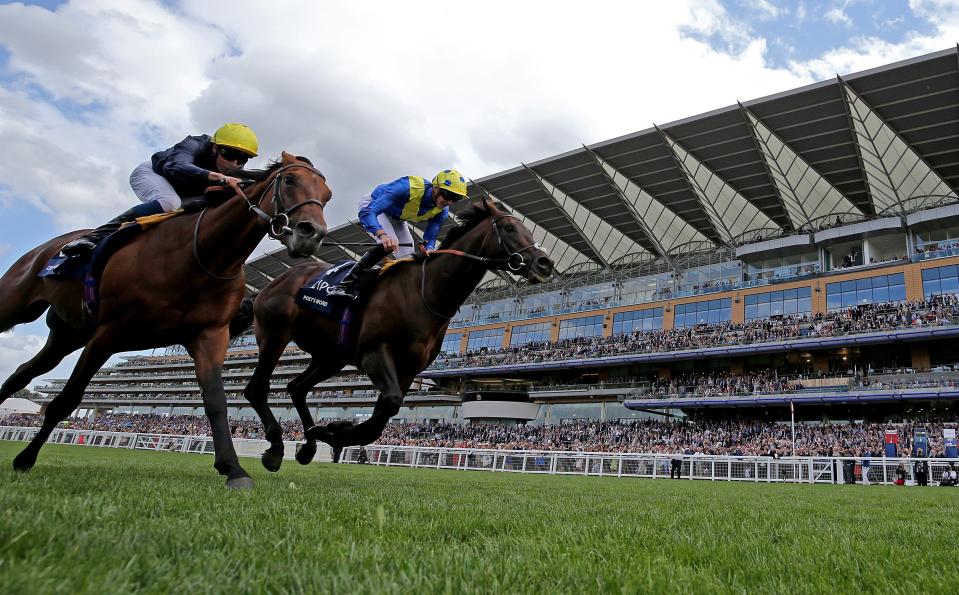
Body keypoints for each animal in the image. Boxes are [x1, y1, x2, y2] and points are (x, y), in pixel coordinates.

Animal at [0, 150, 332, 488]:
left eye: (327, 196)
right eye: (289, 180)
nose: (311, 234)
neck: (201, 255)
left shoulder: (209, 335)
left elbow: (216, 401)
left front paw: (233, 468)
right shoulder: (108, 333)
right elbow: (66, 400)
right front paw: (26, 457)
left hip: (67, 334)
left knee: (22, 374)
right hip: (17, 304)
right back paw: (82, 243)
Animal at [240, 198, 556, 468]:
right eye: (509, 228)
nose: (545, 263)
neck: (426, 292)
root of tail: (272, 284)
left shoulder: (408, 369)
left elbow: (381, 419)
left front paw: (334, 431)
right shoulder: (374, 353)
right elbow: (389, 405)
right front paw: (336, 430)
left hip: (330, 356)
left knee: (296, 387)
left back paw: (308, 445)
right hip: (275, 334)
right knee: (256, 388)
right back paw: (275, 448)